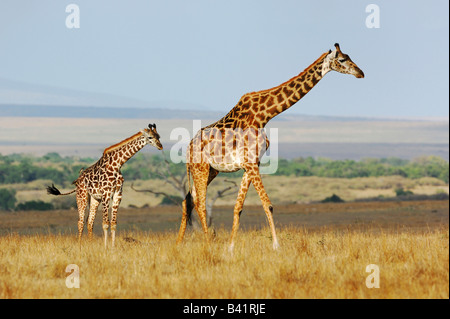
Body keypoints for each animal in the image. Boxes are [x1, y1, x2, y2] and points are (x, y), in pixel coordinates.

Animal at [176, 43, 366, 252]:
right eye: (342, 59)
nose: (361, 73)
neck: (264, 115)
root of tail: (188, 147)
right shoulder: (251, 163)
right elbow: (268, 204)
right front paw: (276, 245)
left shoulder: (251, 164)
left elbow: (238, 207)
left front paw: (231, 247)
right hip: (200, 168)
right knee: (200, 202)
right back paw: (208, 243)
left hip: (211, 170)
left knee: (188, 200)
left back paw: (178, 243)